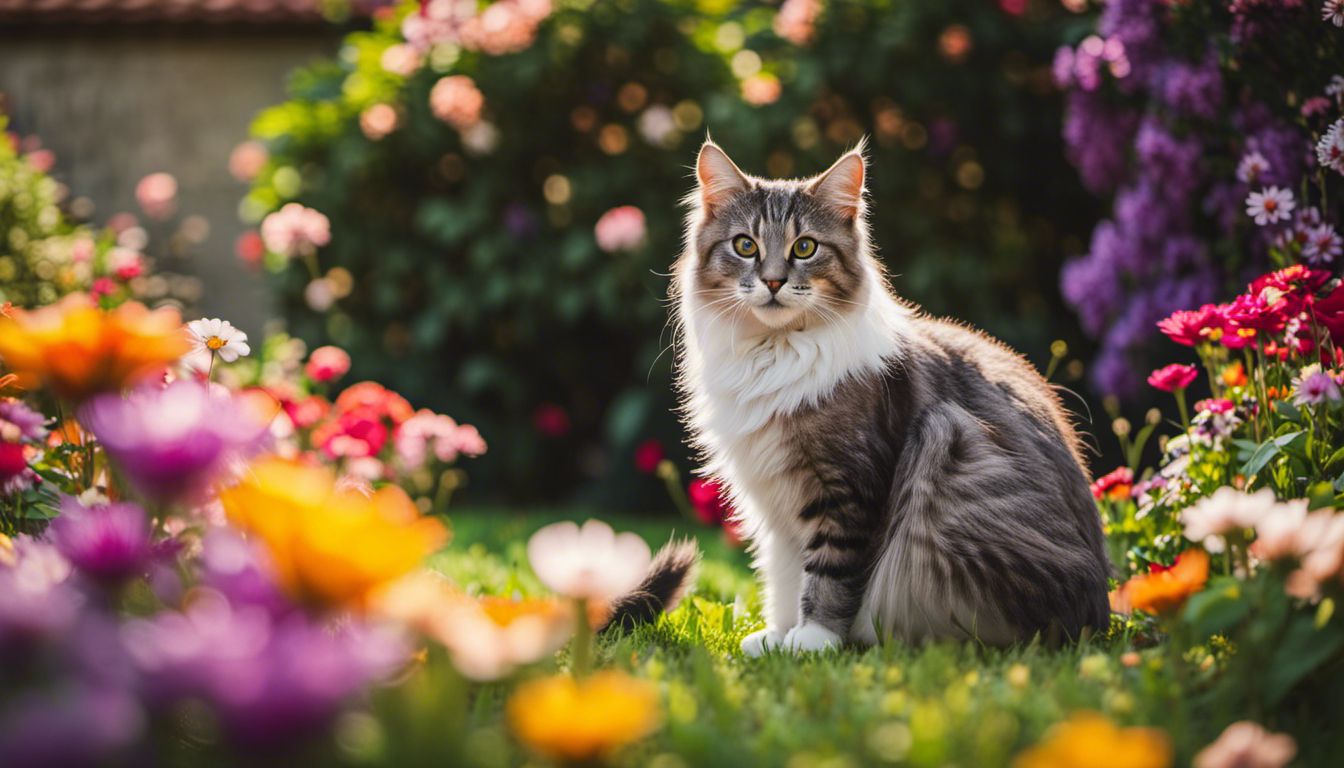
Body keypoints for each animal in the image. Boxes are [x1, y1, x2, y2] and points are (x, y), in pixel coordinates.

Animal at [677, 138, 1107, 656]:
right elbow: (784, 576)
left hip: (946, 434)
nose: (774, 282)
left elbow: (828, 574)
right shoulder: (777, 506)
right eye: (745, 245)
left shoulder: (847, 489)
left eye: (805, 248)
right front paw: (778, 638)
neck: (773, 350)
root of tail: (1100, 617)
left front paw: (814, 641)